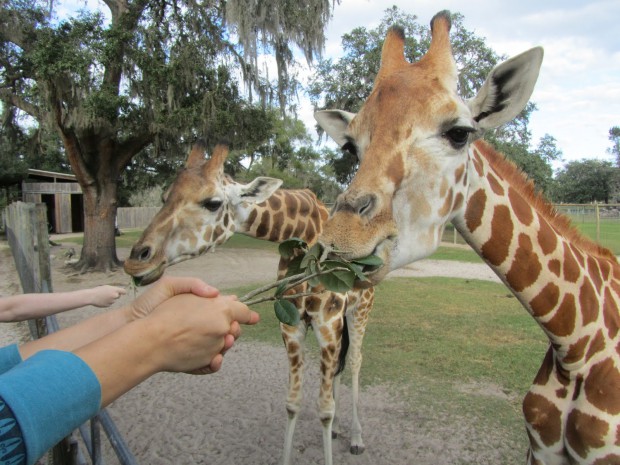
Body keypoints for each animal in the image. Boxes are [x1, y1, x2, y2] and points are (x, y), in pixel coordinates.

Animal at [121, 142, 372, 464]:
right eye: (165, 197)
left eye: (213, 202)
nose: (137, 261)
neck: (304, 234)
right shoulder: (291, 326)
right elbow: (293, 402)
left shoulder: (327, 324)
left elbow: (324, 410)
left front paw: (339, 429)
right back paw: (341, 429)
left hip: (360, 309)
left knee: (354, 361)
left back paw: (356, 438)